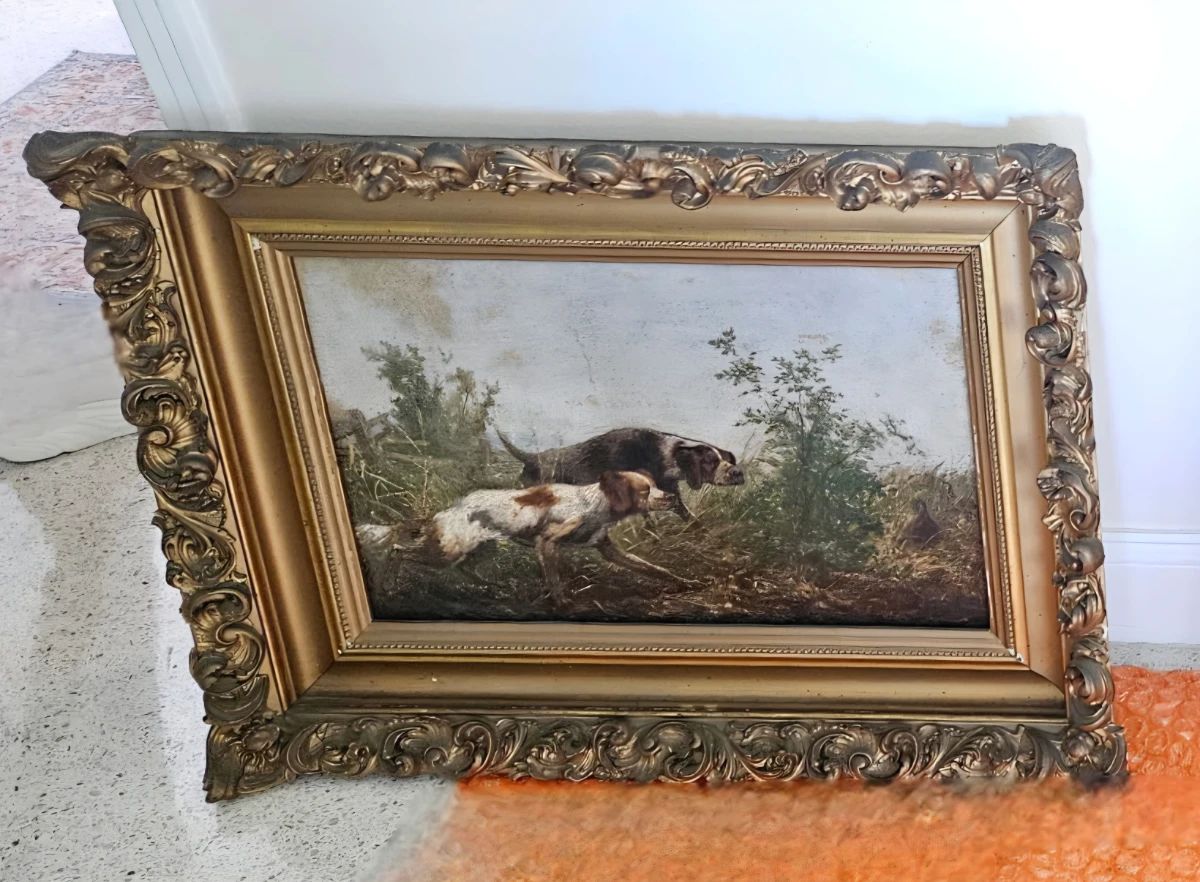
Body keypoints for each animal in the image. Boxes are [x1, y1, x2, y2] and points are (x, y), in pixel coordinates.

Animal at [419, 469, 693, 593]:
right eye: (645, 491)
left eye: (655, 486)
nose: (670, 497)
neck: (595, 504)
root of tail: (456, 505)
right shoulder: (547, 542)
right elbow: (555, 581)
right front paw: (563, 604)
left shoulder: (608, 549)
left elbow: (654, 568)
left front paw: (684, 582)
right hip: (454, 547)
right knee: (420, 557)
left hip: (484, 547)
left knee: (466, 567)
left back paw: (491, 585)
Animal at [495, 427, 744, 520]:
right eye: (711, 461)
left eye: (728, 459)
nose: (738, 472)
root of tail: (531, 457)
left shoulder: (669, 491)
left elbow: (685, 513)